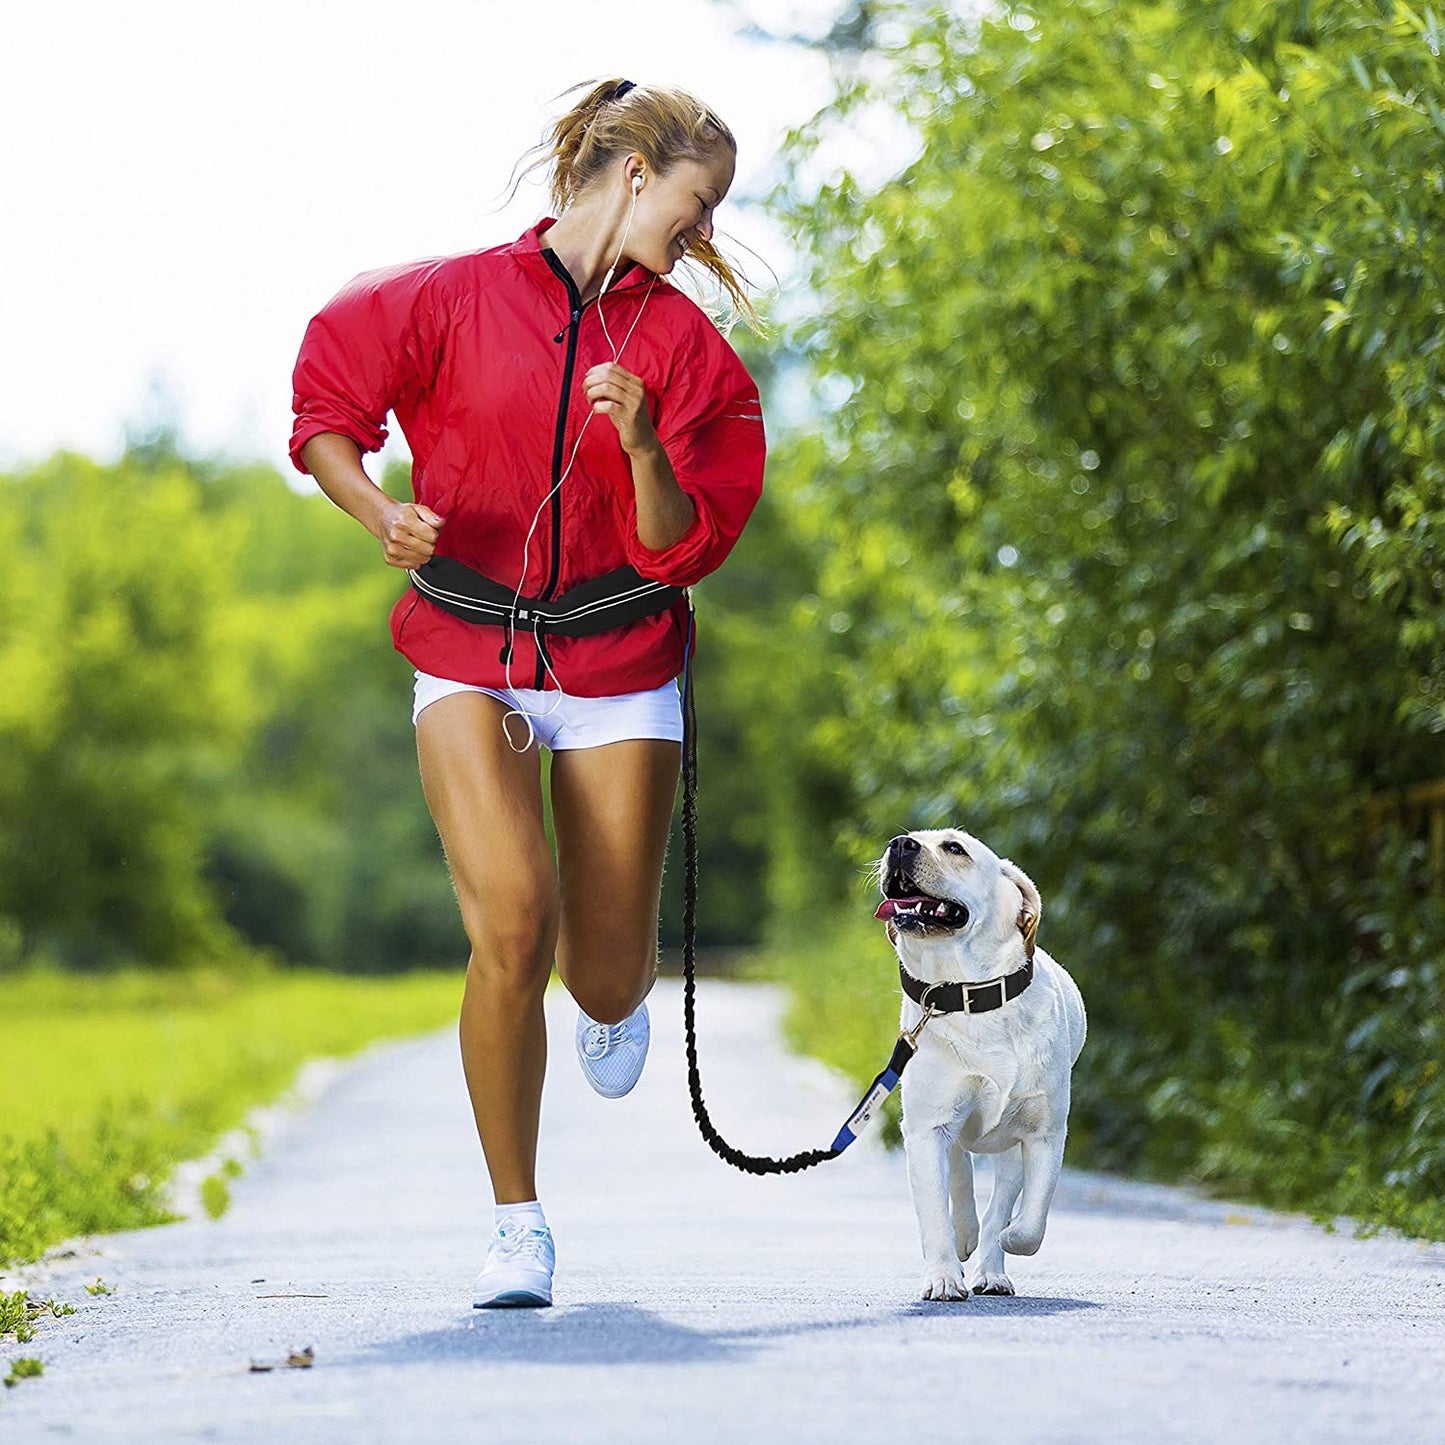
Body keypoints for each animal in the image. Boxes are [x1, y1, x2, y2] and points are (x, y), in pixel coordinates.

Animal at [867, 826, 1086, 1300]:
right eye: (907, 838)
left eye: (954, 848)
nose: (899, 844)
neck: (966, 992)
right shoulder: (926, 1128)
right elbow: (936, 1215)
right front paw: (944, 1278)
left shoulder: (1043, 1132)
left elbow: (1029, 1221)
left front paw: (1004, 1240)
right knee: (958, 1172)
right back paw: (966, 1237)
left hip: (1008, 1144)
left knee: (999, 1198)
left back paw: (990, 1267)